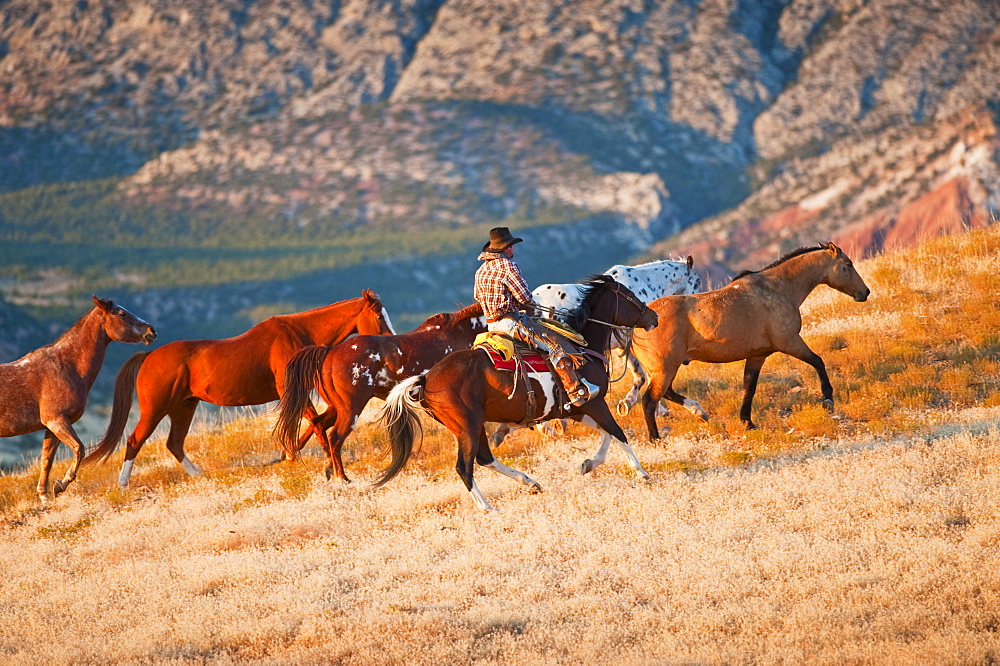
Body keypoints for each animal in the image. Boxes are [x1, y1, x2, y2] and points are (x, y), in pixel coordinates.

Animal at [0, 296, 155, 498]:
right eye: (122, 313)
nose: (151, 331)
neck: (64, 365)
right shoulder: (56, 421)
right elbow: (79, 449)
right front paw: (61, 484)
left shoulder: (52, 426)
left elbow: (47, 459)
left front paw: (44, 494)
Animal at [83, 288, 394, 486]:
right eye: (379, 316)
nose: (391, 342)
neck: (296, 333)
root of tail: (148, 356)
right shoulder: (293, 391)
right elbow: (315, 423)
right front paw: (321, 460)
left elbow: (315, 421)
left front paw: (290, 454)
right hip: (155, 409)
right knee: (135, 440)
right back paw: (123, 484)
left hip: (184, 407)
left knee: (174, 443)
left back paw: (199, 476)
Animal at [276, 302, 486, 482]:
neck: (460, 333)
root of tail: (329, 352)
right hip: (350, 409)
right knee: (335, 438)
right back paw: (342, 478)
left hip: (336, 407)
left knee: (318, 425)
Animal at [376, 274, 656, 512]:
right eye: (630, 296)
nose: (653, 316)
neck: (582, 349)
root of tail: (426, 379)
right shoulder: (594, 403)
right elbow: (618, 433)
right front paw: (642, 473)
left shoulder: (577, 409)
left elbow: (606, 434)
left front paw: (588, 464)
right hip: (467, 426)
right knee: (465, 466)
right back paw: (488, 508)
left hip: (470, 426)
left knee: (484, 457)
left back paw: (530, 482)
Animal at [624, 240, 868, 436]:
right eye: (848, 264)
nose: (865, 293)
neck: (777, 289)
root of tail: (638, 325)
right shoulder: (789, 342)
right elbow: (818, 361)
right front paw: (828, 398)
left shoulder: (757, 355)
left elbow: (748, 387)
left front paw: (747, 422)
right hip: (665, 369)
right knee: (650, 401)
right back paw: (656, 439)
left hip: (665, 369)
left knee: (667, 393)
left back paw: (700, 413)